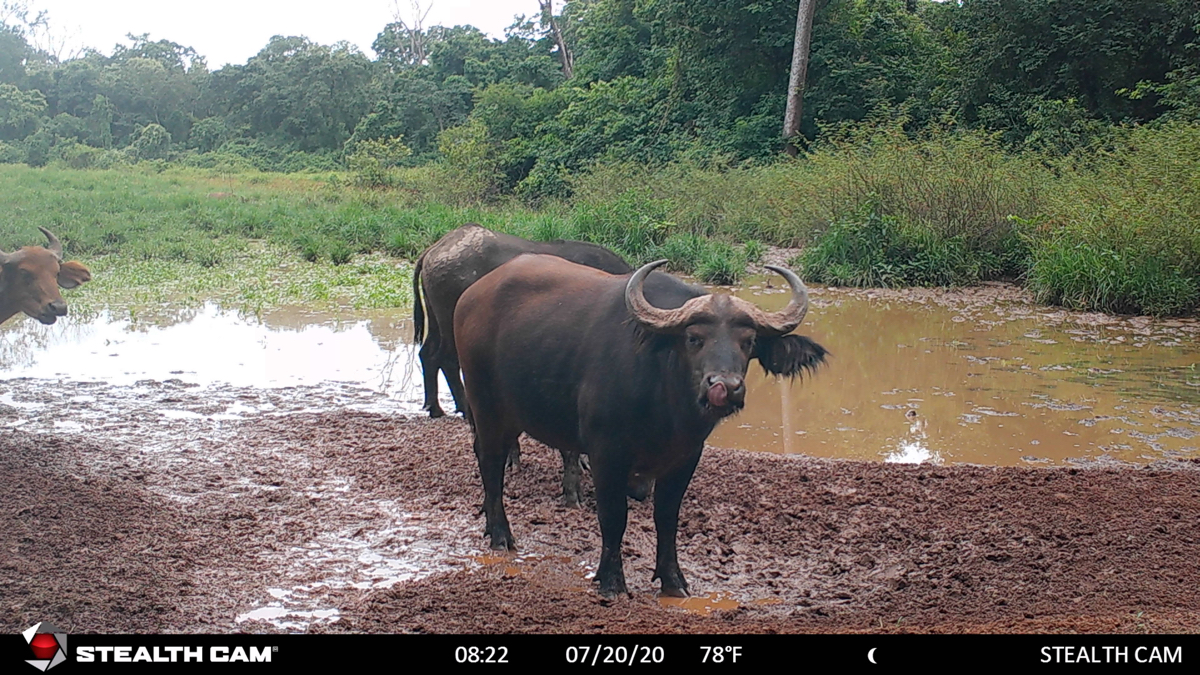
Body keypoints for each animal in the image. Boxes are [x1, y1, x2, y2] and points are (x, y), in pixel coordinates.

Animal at [453, 252, 830, 593]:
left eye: (748, 342)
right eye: (693, 338)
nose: (726, 387)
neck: (666, 406)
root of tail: (470, 295)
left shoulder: (686, 457)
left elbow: (667, 517)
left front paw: (673, 580)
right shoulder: (606, 454)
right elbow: (613, 516)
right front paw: (611, 580)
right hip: (486, 407)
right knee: (490, 463)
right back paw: (501, 535)